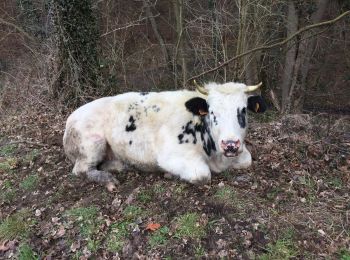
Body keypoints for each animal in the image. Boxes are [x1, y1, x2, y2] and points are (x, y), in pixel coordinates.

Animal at [63, 81, 266, 189]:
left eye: (243, 110)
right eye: (212, 112)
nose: (230, 144)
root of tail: (71, 117)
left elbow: (247, 159)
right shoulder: (172, 156)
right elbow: (202, 175)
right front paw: (170, 174)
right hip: (92, 143)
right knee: (81, 169)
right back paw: (107, 178)